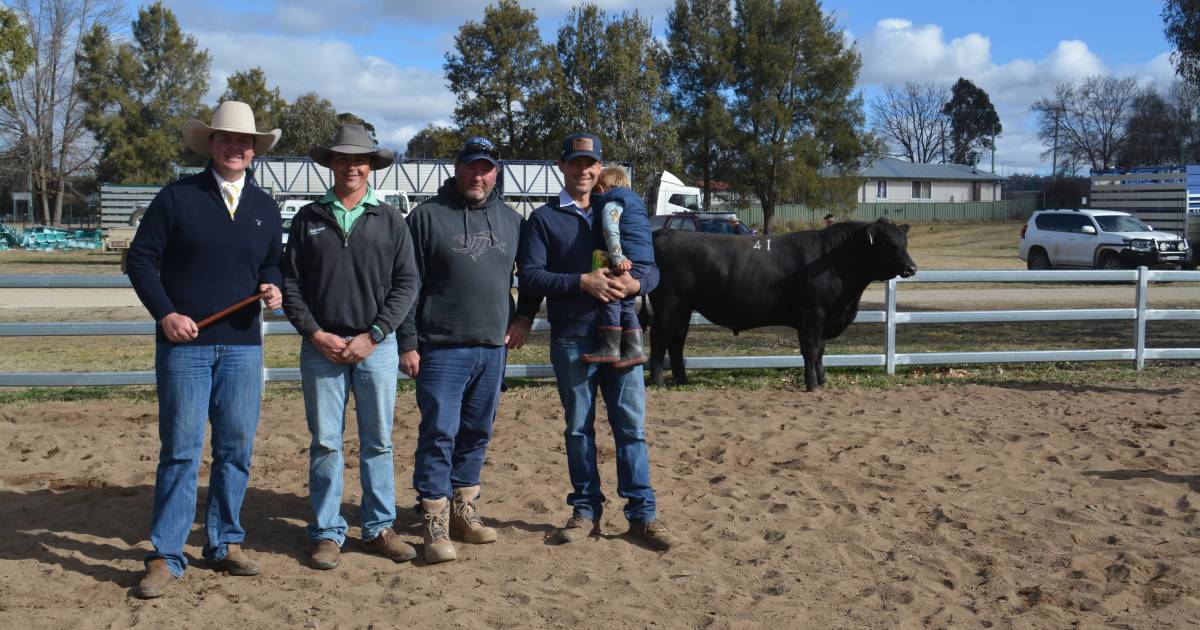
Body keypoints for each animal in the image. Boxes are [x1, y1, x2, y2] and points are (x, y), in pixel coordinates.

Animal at [648, 218, 916, 391]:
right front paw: (812, 384)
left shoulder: (824, 318)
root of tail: (665, 233)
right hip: (668, 305)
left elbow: (821, 350)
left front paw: (823, 380)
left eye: (905, 243)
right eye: (889, 244)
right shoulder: (813, 313)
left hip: (683, 309)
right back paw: (659, 382)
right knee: (659, 340)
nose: (912, 268)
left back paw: (682, 380)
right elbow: (810, 349)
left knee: (676, 342)